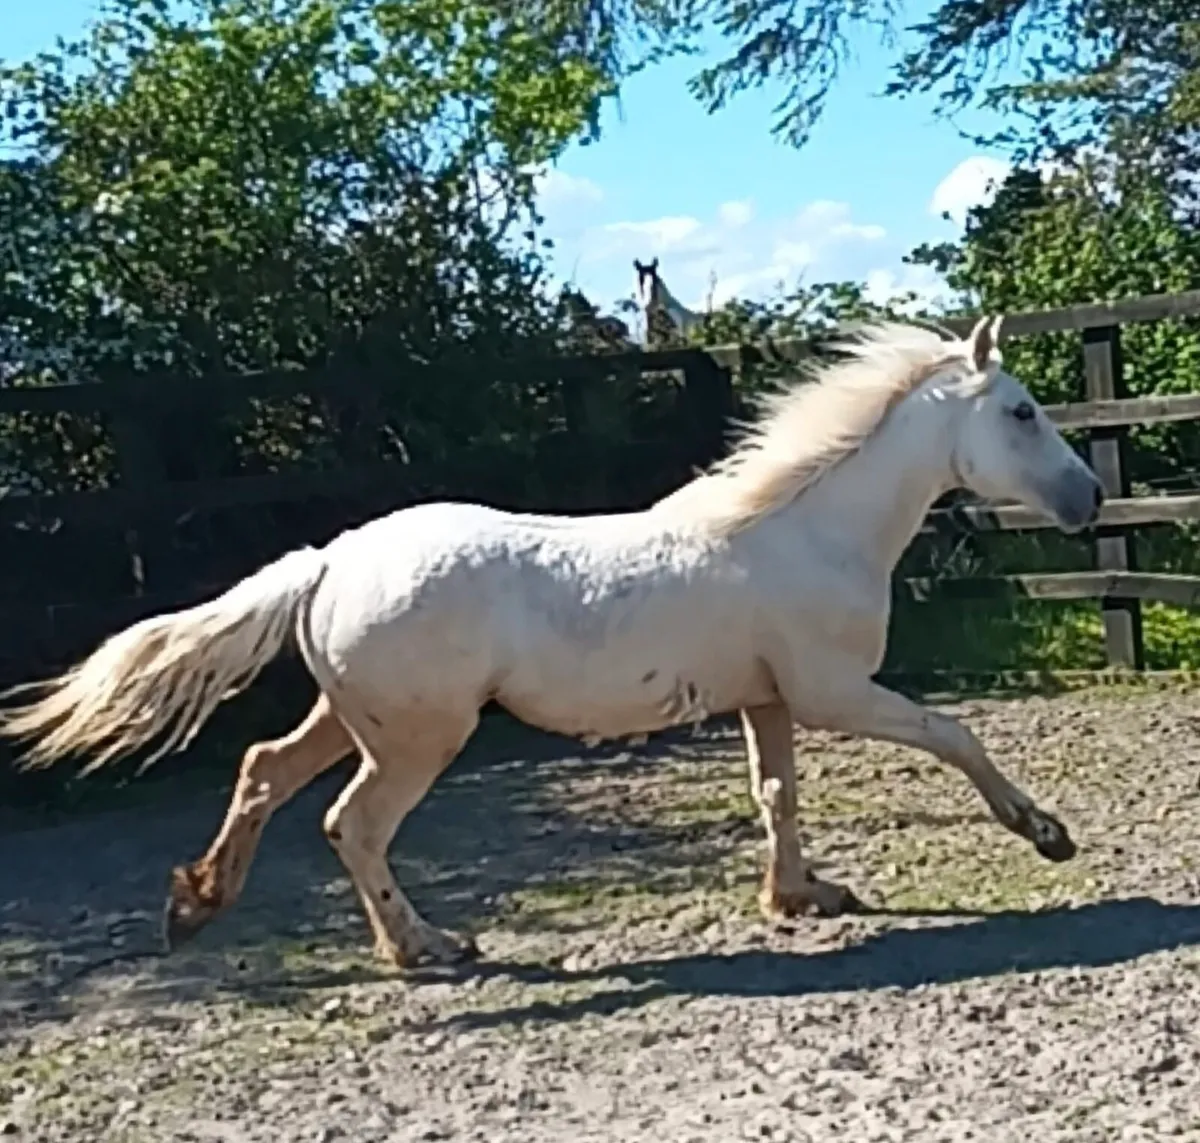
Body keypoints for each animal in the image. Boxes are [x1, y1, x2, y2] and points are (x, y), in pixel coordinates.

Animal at [0, 318, 1104, 969]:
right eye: (1020, 410)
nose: (1090, 496)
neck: (808, 528)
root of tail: (329, 560)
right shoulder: (836, 690)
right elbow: (954, 734)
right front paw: (1046, 833)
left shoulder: (769, 698)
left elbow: (774, 794)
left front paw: (802, 896)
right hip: (417, 739)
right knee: (352, 824)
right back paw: (428, 946)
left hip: (353, 718)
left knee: (265, 770)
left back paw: (196, 904)